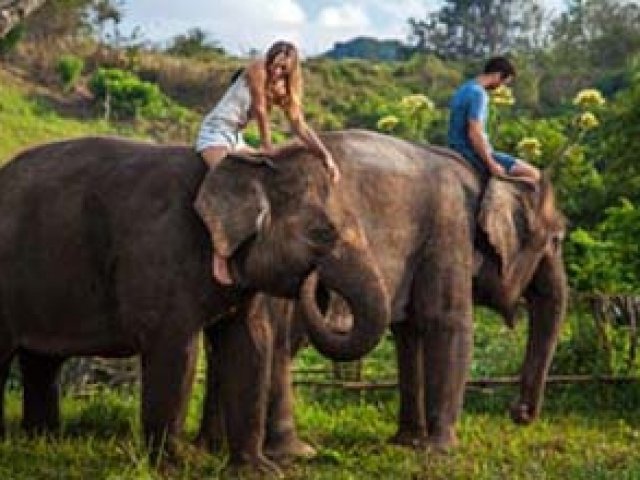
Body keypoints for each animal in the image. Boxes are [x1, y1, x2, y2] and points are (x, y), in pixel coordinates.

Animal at [0, 135, 390, 473]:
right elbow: (177, 351)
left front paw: (258, 470)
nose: (317, 284)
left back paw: (42, 442)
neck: (250, 166)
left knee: (41, 361)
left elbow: (250, 346)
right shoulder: (164, 254)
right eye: (322, 234)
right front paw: (176, 466)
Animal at [194, 129, 568, 452]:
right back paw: (285, 452)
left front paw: (408, 443)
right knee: (282, 343)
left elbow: (409, 333)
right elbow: (447, 321)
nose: (519, 414)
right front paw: (439, 451)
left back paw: (213, 447)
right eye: (557, 240)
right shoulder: (450, 228)